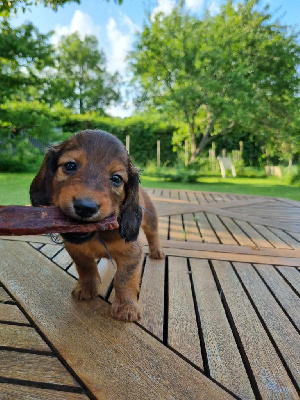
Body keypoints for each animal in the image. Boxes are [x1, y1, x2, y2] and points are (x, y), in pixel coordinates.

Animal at [30, 130, 164, 322]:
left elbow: (124, 278)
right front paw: (87, 287)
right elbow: (86, 266)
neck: (96, 234)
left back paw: (157, 251)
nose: (85, 207)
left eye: (116, 178)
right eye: (70, 165)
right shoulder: (75, 249)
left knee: (153, 234)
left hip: (151, 220)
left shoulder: (132, 252)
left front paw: (126, 306)